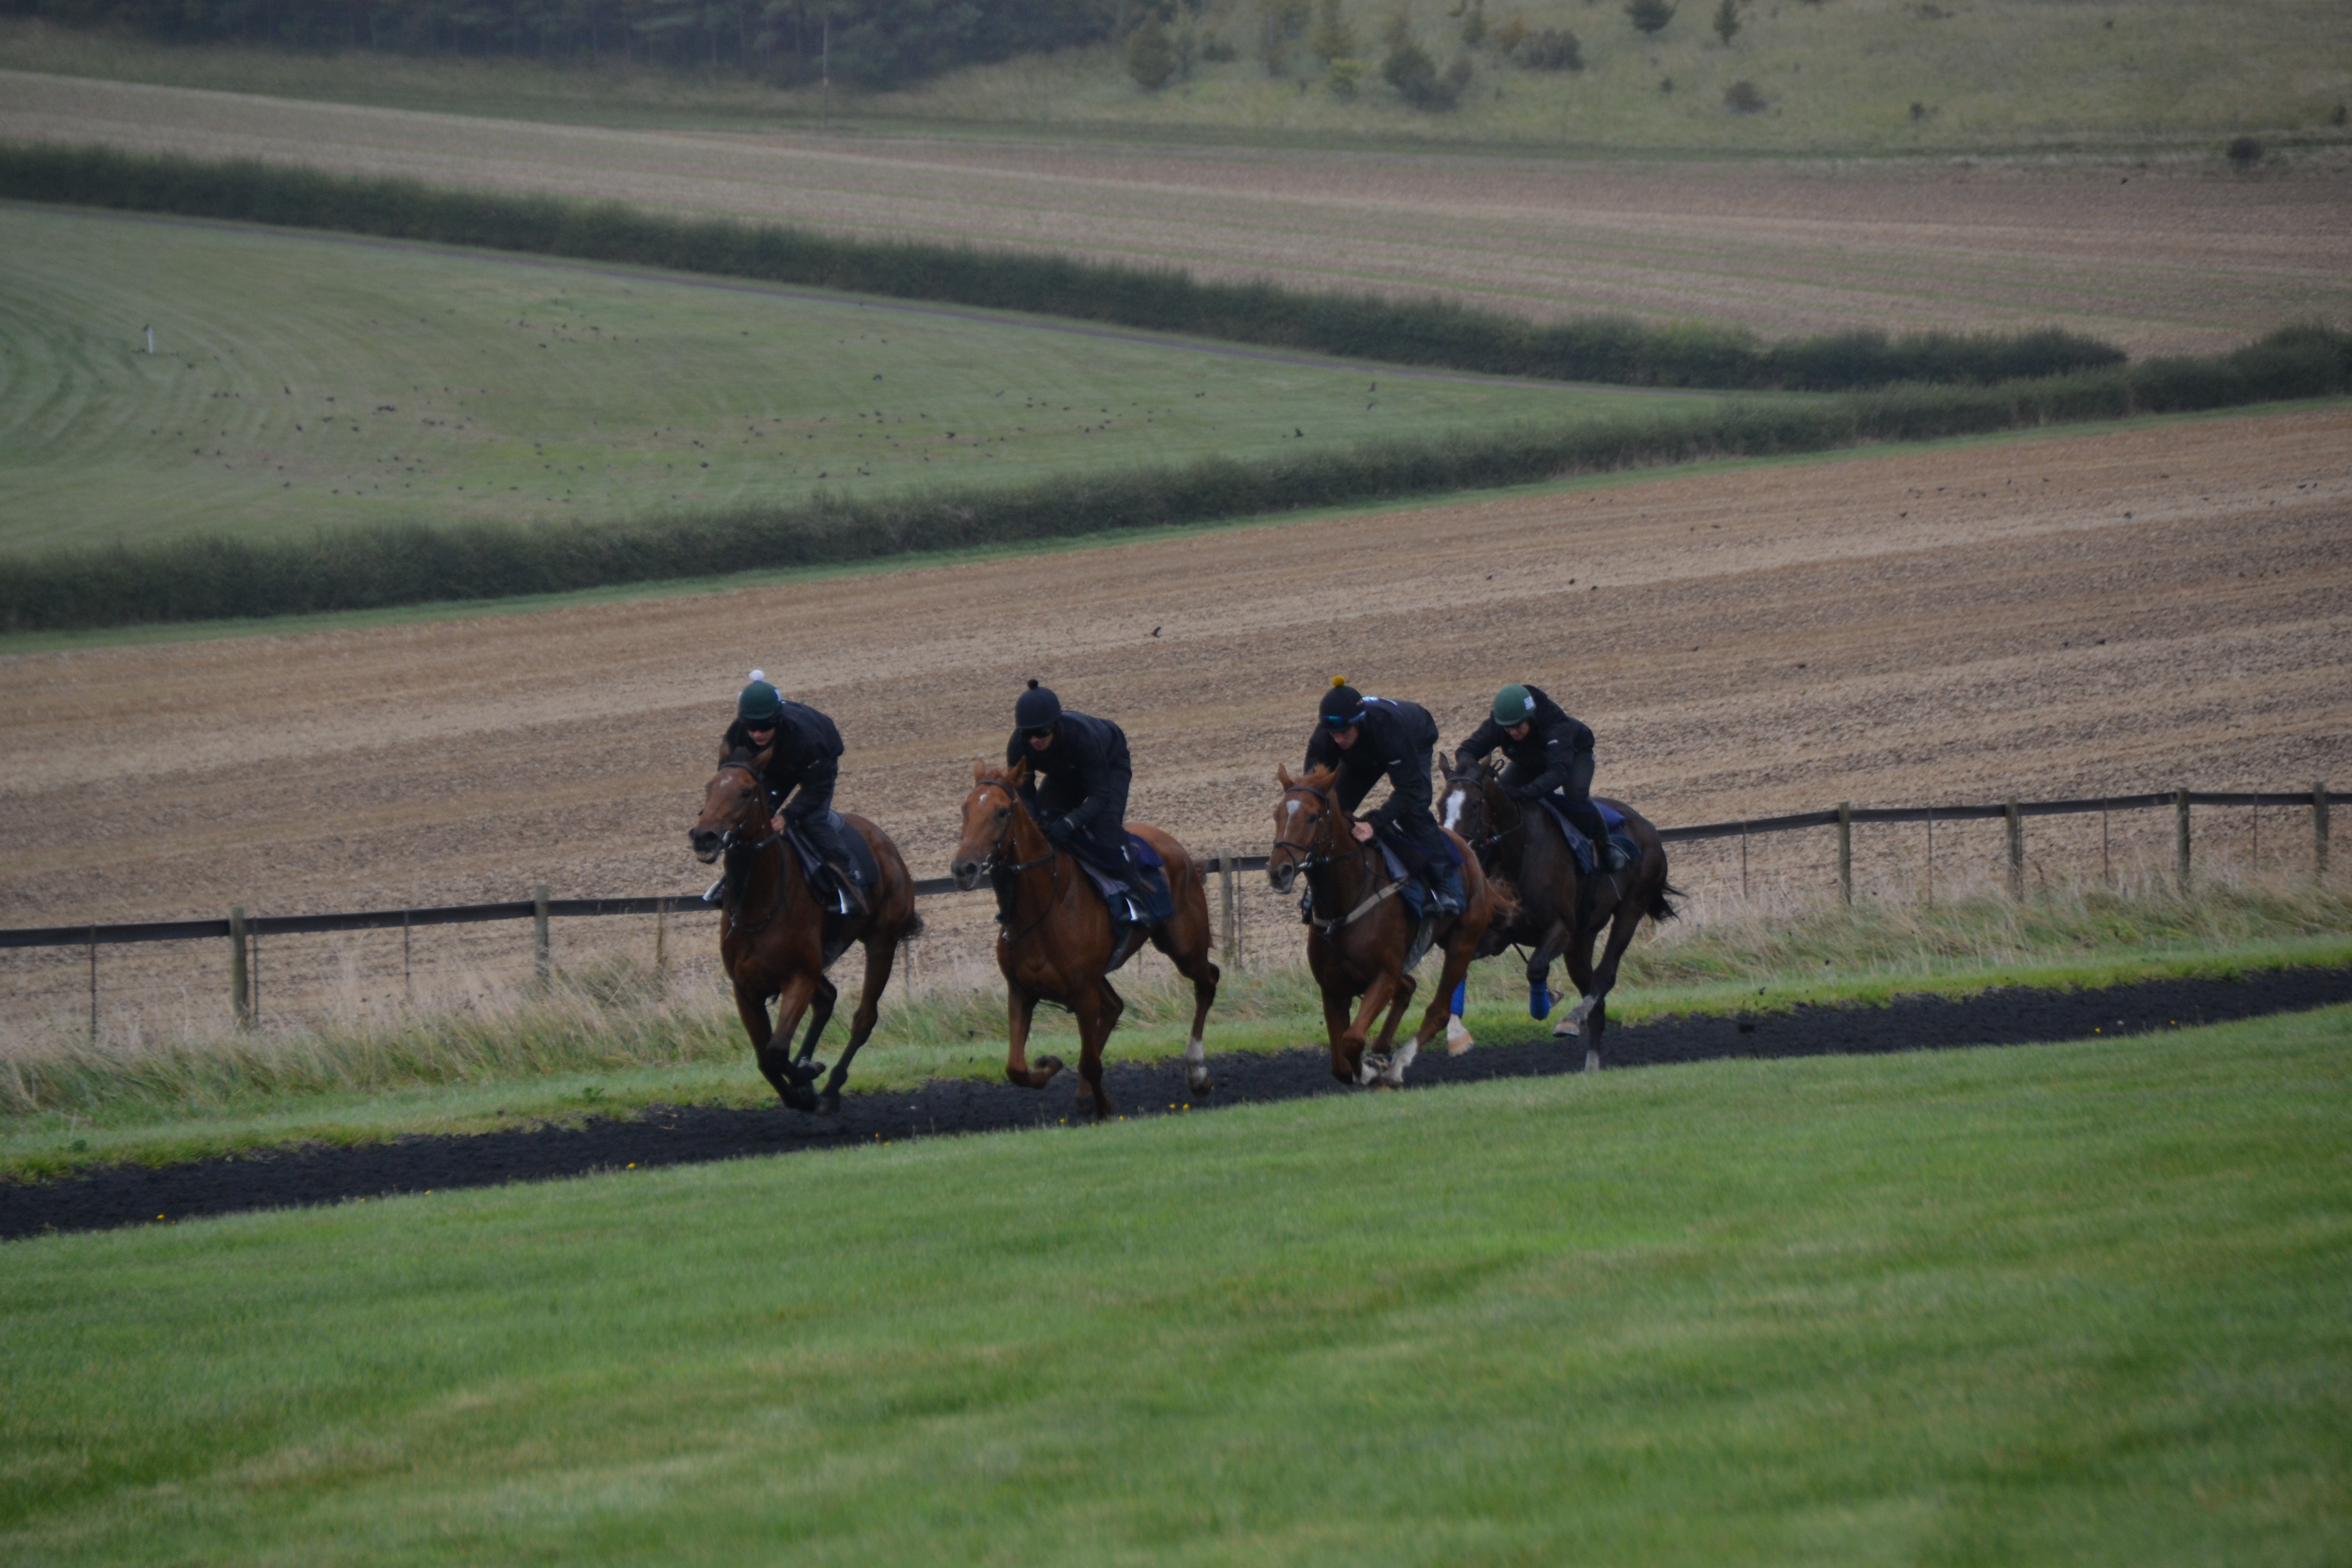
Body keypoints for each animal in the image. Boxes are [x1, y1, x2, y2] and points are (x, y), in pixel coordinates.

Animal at [687, 752, 917, 1109]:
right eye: (709, 787)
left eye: (746, 792)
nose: (704, 836)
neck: (760, 903)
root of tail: (887, 845)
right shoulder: (746, 989)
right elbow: (766, 1059)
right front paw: (801, 1085)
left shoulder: (799, 977)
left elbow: (777, 1050)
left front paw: (809, 1084)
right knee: (827, 999)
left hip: (882, 942)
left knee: (864, 1019)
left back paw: (831, 1086)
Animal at [945, 766, 1223, 1123]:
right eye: (965, 809)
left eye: (1002, 812)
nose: (963, 868)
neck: (1043, 906)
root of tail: (1177, 848)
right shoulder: (1022, 991)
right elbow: (1016, 1069)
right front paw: (1049, 1065)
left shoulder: (1082, 992)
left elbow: (1090, 1062)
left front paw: (1105, 1109)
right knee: (1115, 1006)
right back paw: (1083, 1094)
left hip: (1184, 946)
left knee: (1208, 981)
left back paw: (1197, 1072)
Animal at [1270, 762, 1505, 1086]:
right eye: (1277, 814)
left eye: (1312, 817)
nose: (1278, 871)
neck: (1342, 904)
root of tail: (1468, 850)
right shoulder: (1332, 986)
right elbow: (1340, 1065)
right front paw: (1367, 1064)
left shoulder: (1383, 975)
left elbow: (1352, 1039)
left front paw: (1369, 1070)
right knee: (1408, 987)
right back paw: (1383, 1050)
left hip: (1463, 943)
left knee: (1439, 1011)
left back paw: (1397, 1065)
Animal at [1430, 752, 1674, 1072]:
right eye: (1439, 804)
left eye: (1473, 804)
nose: (1453, 854)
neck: (1517, 852)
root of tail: (1647, 826)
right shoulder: (1498, 935)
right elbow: (1461, 968)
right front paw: (1457, 1036)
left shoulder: (1561, 930)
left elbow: (1535, 968)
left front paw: (1546, 1003)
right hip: (1583, 939)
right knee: (1595, 999)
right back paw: (1591, 1066)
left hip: (1631, 909)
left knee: (1605, 977)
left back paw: (1572, 1019)